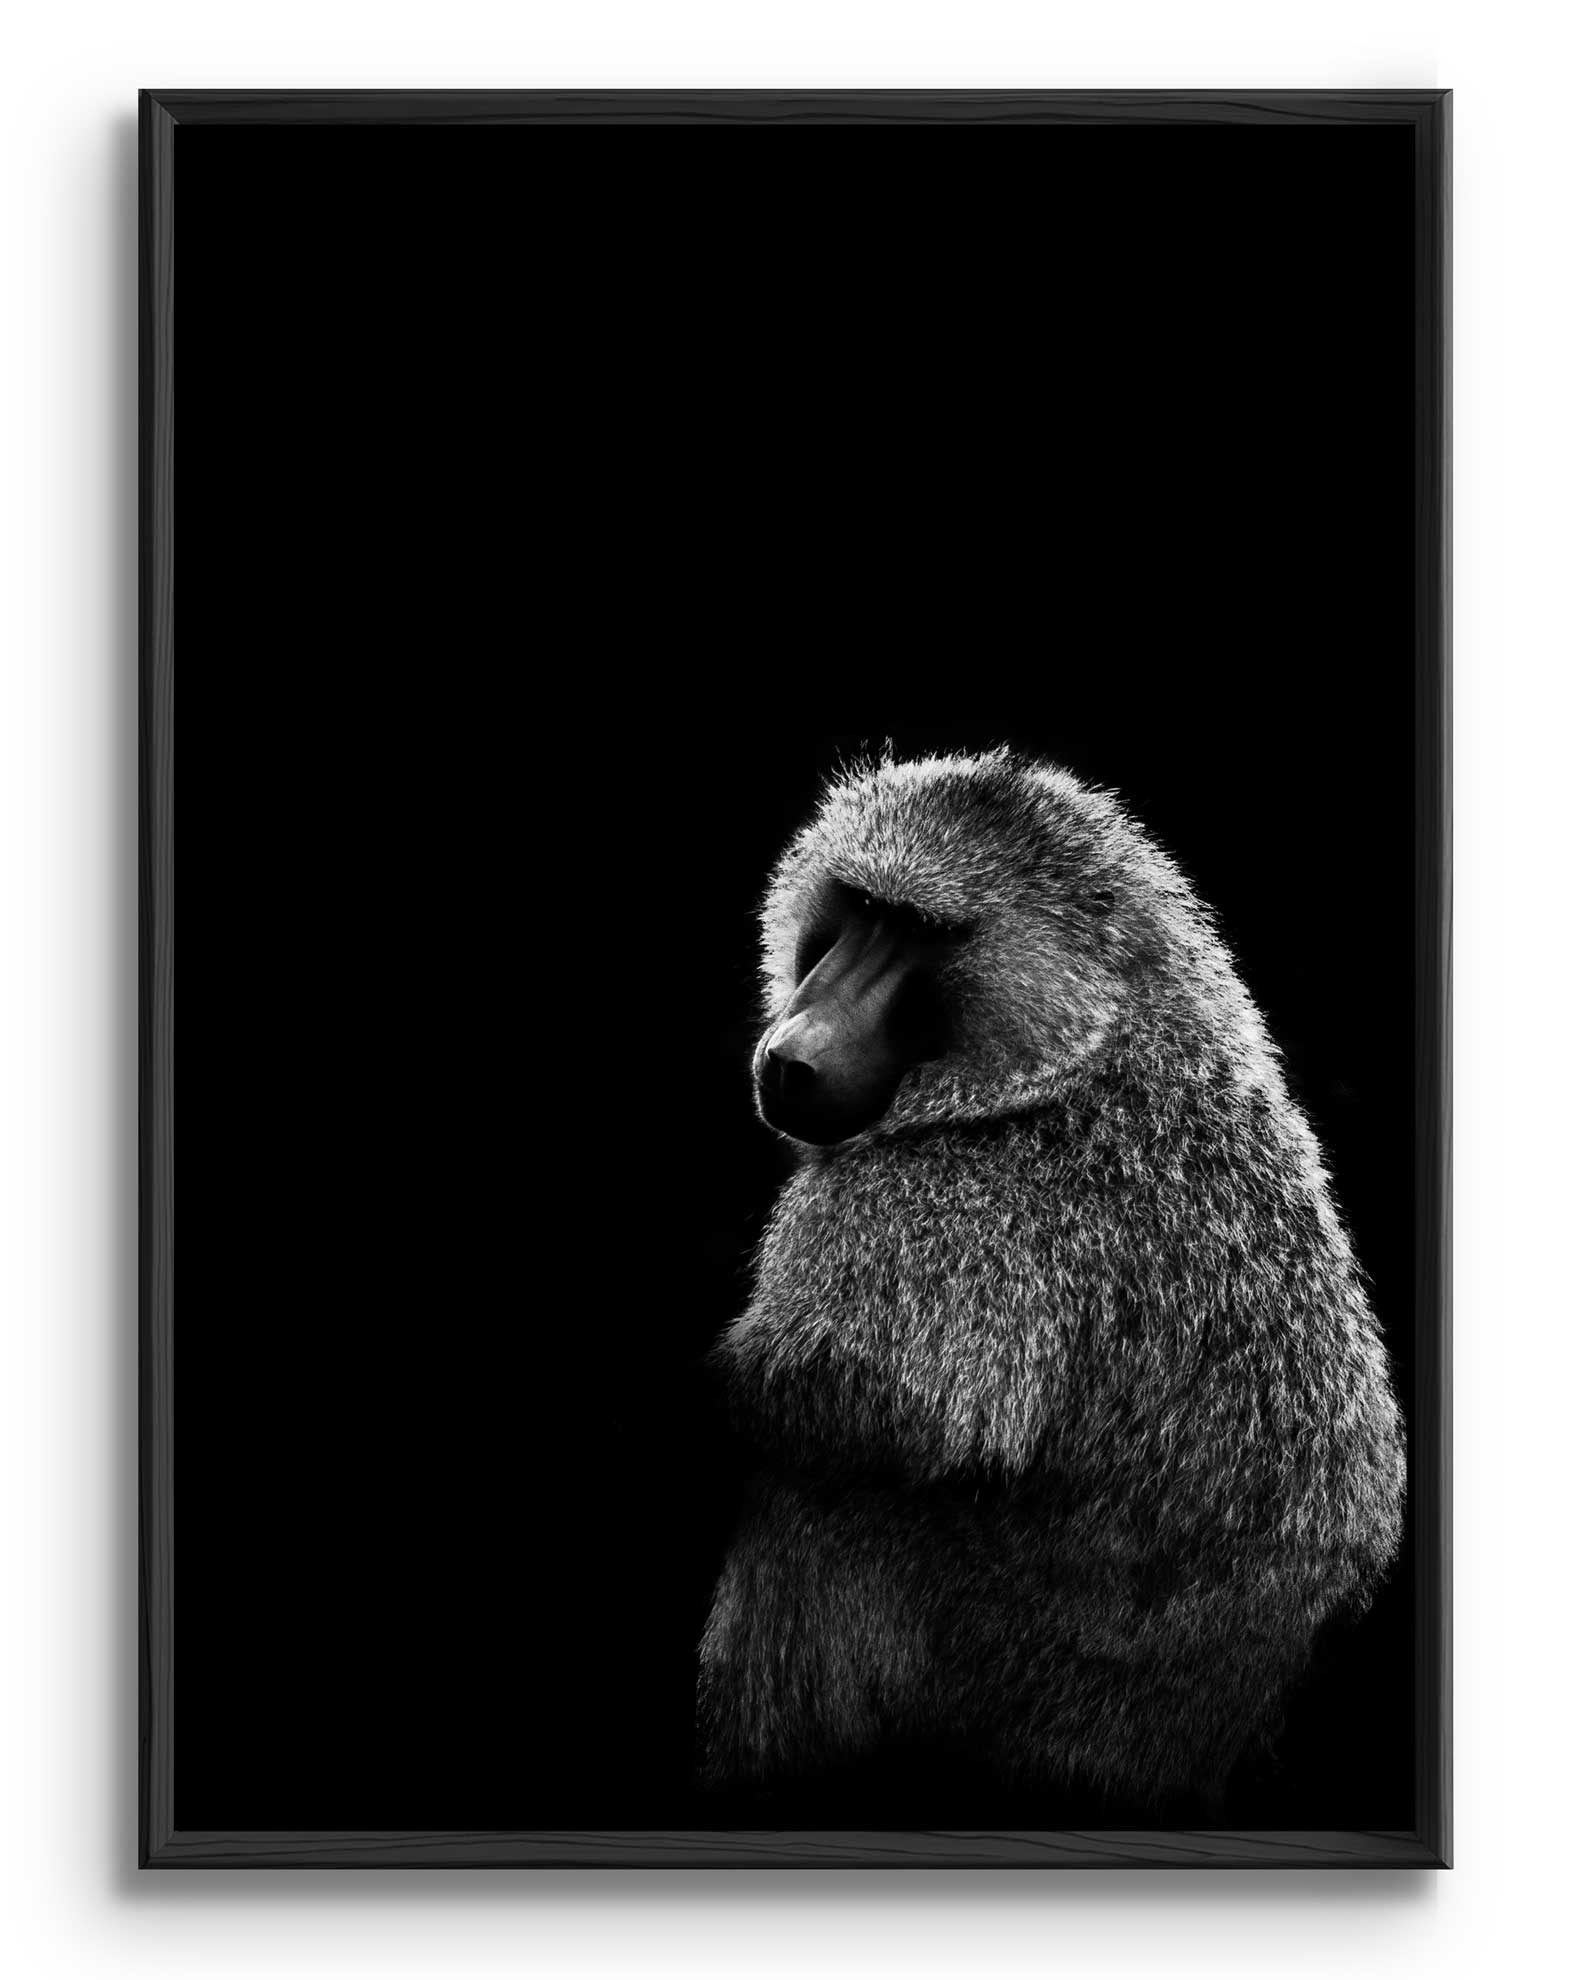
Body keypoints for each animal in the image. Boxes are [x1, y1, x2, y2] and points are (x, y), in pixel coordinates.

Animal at [696, 747, 1405, 1817]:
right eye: (858, 910)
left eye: (922, 934)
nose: (794, 1054)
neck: (1090, 1044)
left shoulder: (931, 1201)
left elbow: (832, 1403)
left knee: (813, 1509)